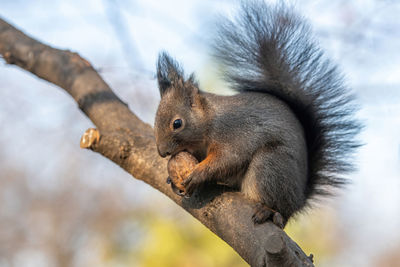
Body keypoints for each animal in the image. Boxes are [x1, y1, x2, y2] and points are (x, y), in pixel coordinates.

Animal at [152, 1, 360, 229]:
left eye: (177, 123)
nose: (162, 152)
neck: (209, 121)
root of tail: (297, 201)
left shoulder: (233, 133)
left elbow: (229, 158)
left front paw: (198, 174)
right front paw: (173, 179)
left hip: (270, 166)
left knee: (276, 203)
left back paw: (269, 210)